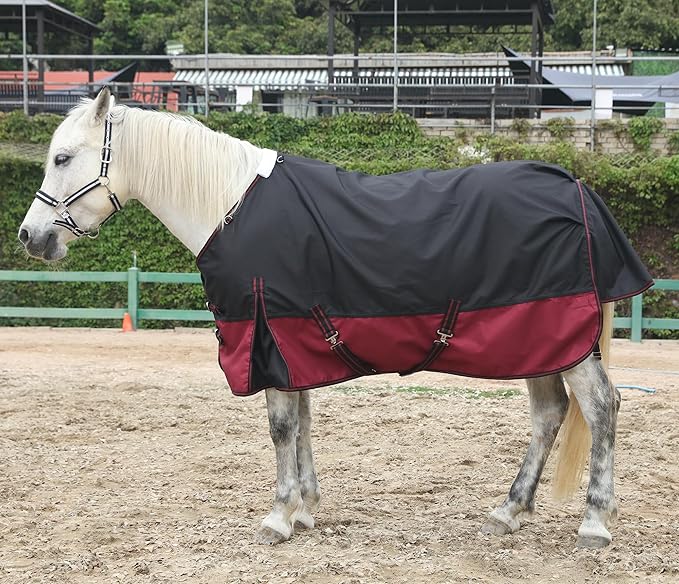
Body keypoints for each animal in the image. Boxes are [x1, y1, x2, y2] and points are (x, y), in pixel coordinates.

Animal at [18, 88, 651, 549]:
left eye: (63, 158)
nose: (30, 236)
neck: (228, 207)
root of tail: (576, 188)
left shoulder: (266, 336)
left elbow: (280, 427)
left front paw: (278, 517)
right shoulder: (288, 342)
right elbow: (301, 423)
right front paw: (305, 510)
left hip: (563, 343)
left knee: (601, 407)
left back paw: (594, 523)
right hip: (541, 343)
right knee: (549, 415)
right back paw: (508, 510)